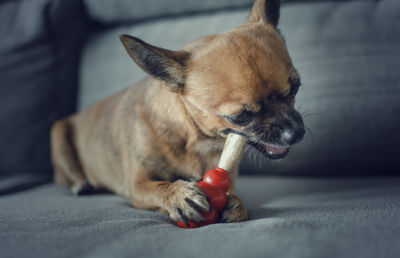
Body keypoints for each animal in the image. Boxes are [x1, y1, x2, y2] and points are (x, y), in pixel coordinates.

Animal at [51, 0, 304, 224]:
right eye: (240, 116)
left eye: (295, 88)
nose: (297, 133)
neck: (198, 142)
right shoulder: (138, 184)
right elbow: (159, 186)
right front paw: (179, 195)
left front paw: (236, 203)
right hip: (58, 132)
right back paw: (81, 185)